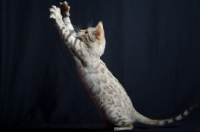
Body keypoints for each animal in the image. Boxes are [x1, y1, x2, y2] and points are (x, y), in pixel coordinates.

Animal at [49, 1, 198, 131]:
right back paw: (97, 127)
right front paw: (65, 10)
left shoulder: (75, 46)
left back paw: (119, 128)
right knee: (109, 124)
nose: (81, 31)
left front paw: (57, 14)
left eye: (86, 32)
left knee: (130, 124)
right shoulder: (76, 44)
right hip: (102, 113)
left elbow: (65, 30)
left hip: (110, 110)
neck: (96, 54)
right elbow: (69, 26)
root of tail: (134, 111)